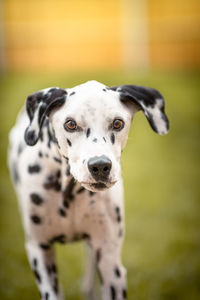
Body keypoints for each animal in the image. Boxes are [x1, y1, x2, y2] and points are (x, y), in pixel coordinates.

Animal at [8, 80, 169, 300]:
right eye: (70, 124)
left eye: (117, 123)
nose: (100, 166)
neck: (70, 192)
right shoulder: (40, 251)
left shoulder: (110, 262)